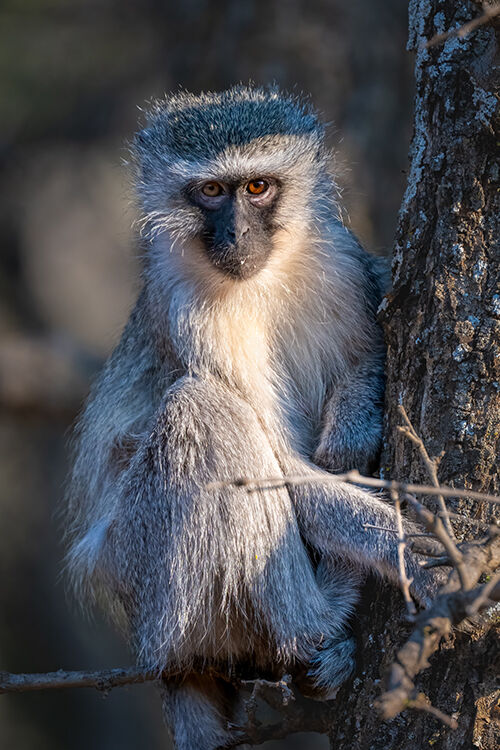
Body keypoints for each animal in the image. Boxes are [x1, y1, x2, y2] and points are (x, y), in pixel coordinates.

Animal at [65, 85, 441, 750]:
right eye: (213, 191)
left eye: (259, 187)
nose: (237, 233)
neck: (263, 277)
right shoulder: (190, 309)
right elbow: (283, 465)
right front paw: (418, 552)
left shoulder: (339, 256)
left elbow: (370, 328)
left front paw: (354, 425)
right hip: (146, 574)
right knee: (205, 410)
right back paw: (315, 621)